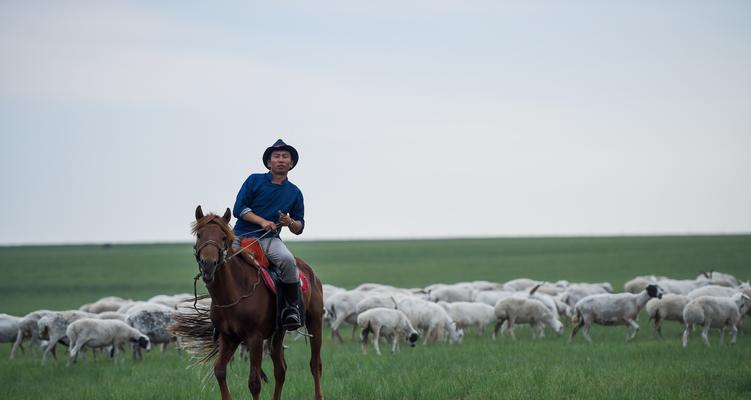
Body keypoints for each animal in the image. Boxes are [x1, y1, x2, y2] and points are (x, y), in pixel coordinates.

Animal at [178, 206, 326, 400]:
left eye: (223, 237)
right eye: (199, 235)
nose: (208, 264)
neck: (233, 293)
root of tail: (310, 273)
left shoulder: (254, 337)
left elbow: (254, 382)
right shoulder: (228, 337)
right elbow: (219, 371)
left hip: (314, 322)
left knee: (315, 365)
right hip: (278, 333)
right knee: (281, 370)